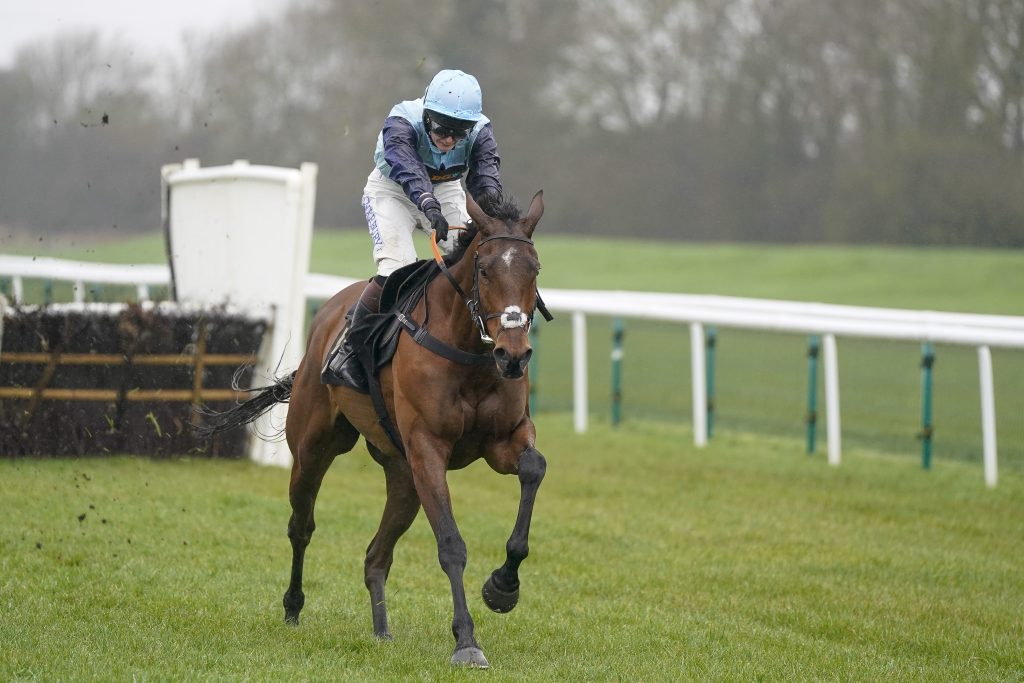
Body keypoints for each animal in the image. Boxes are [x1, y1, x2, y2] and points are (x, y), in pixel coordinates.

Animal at [200, 190, 548, 668]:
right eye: (484, 270)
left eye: (534, 270)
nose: (513, 355)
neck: (470, 353)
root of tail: (326, 319)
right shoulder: (427, 450)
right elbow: (451, 545)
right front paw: (466, 641)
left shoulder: (503, 439)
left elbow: (533, 468)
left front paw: (503, 587)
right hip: (314, 449)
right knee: (301, 526)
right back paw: (292, 608)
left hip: (403, 478)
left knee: (375, 556)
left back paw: (381, 630)